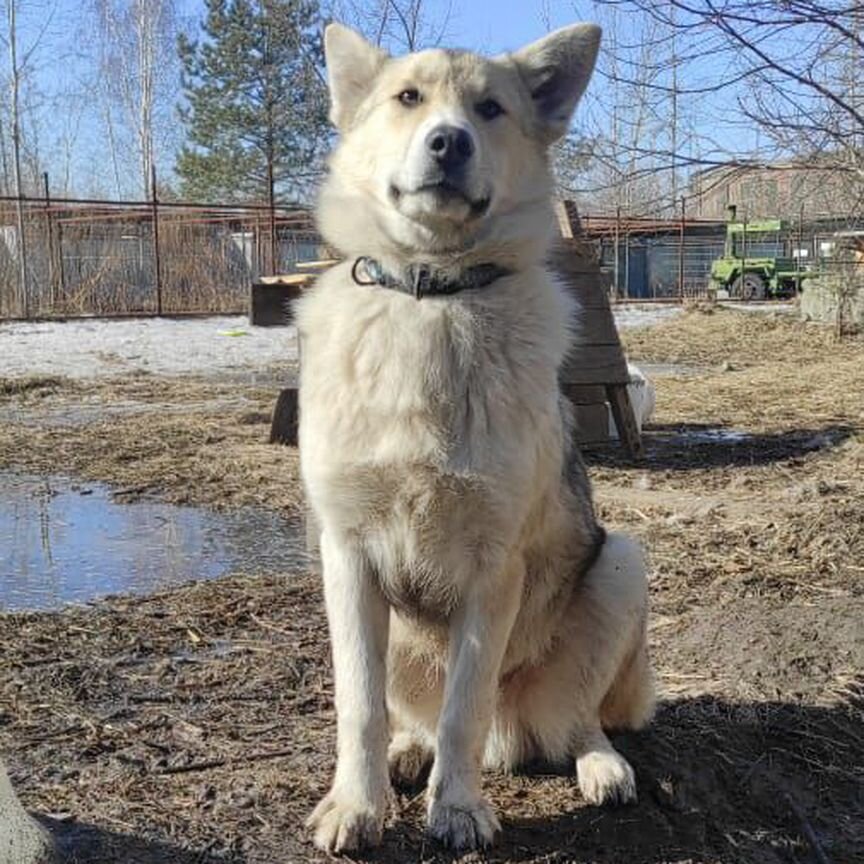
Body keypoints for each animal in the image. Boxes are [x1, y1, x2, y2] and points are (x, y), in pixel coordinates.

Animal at [298, 23, 656, 852]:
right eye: (408, 98)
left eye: (490, 109)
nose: (448, 142)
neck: (432, 295)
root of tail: (514, 736)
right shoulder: (347, 556)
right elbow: (359, 706)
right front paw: (356, 805)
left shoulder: (494, 567)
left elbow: (466, 709)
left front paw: (457, 808)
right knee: (415, 718)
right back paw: (407, 752)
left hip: (621, 565)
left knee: (573, 718)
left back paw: (600, 764)